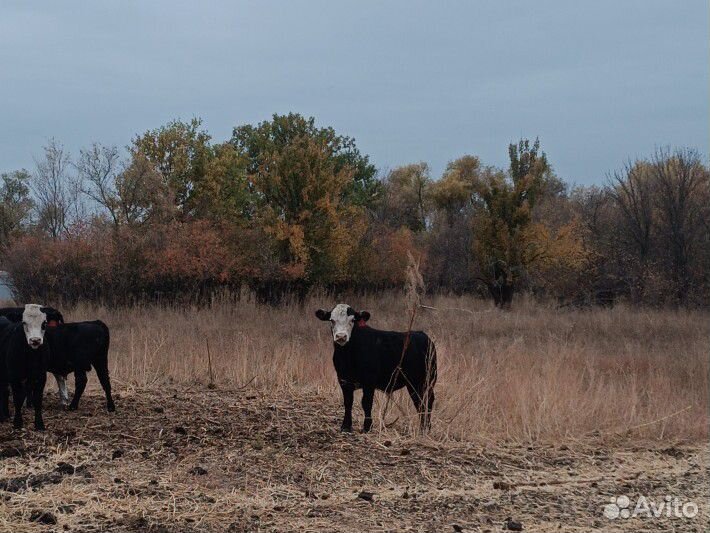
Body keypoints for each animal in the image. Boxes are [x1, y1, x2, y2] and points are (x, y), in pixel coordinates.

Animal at [318, 304, 440, 432]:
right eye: (332, 320)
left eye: (352, 320)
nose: (341, 336)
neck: (347, 356)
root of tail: (422, 335)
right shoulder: (344, 380)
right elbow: (348, 402)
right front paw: (346, 426)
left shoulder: (369, 381)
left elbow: (366, 403)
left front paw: (367, 427)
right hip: (414, 384)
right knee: (419, 402)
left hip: (424, 381)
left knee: (426, 401)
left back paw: (425, 428)